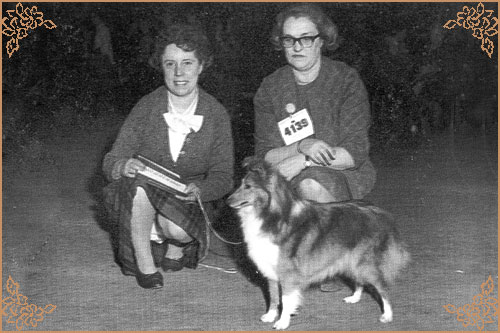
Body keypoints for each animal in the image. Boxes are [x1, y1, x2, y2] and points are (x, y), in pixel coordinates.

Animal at [227, 158, 410, 330]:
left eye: (248, 186)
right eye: (240, 184)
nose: (227, 201)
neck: (270, 215)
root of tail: (378, 212)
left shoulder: (287, 273)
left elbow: (286, 300)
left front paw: (282, 322)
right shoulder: (271, 270)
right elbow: (273, 297)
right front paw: (270, 316)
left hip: (365, 263)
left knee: (383, 288)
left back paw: (387, 316)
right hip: (352, 260)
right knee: (360, 282)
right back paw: (354, 298)